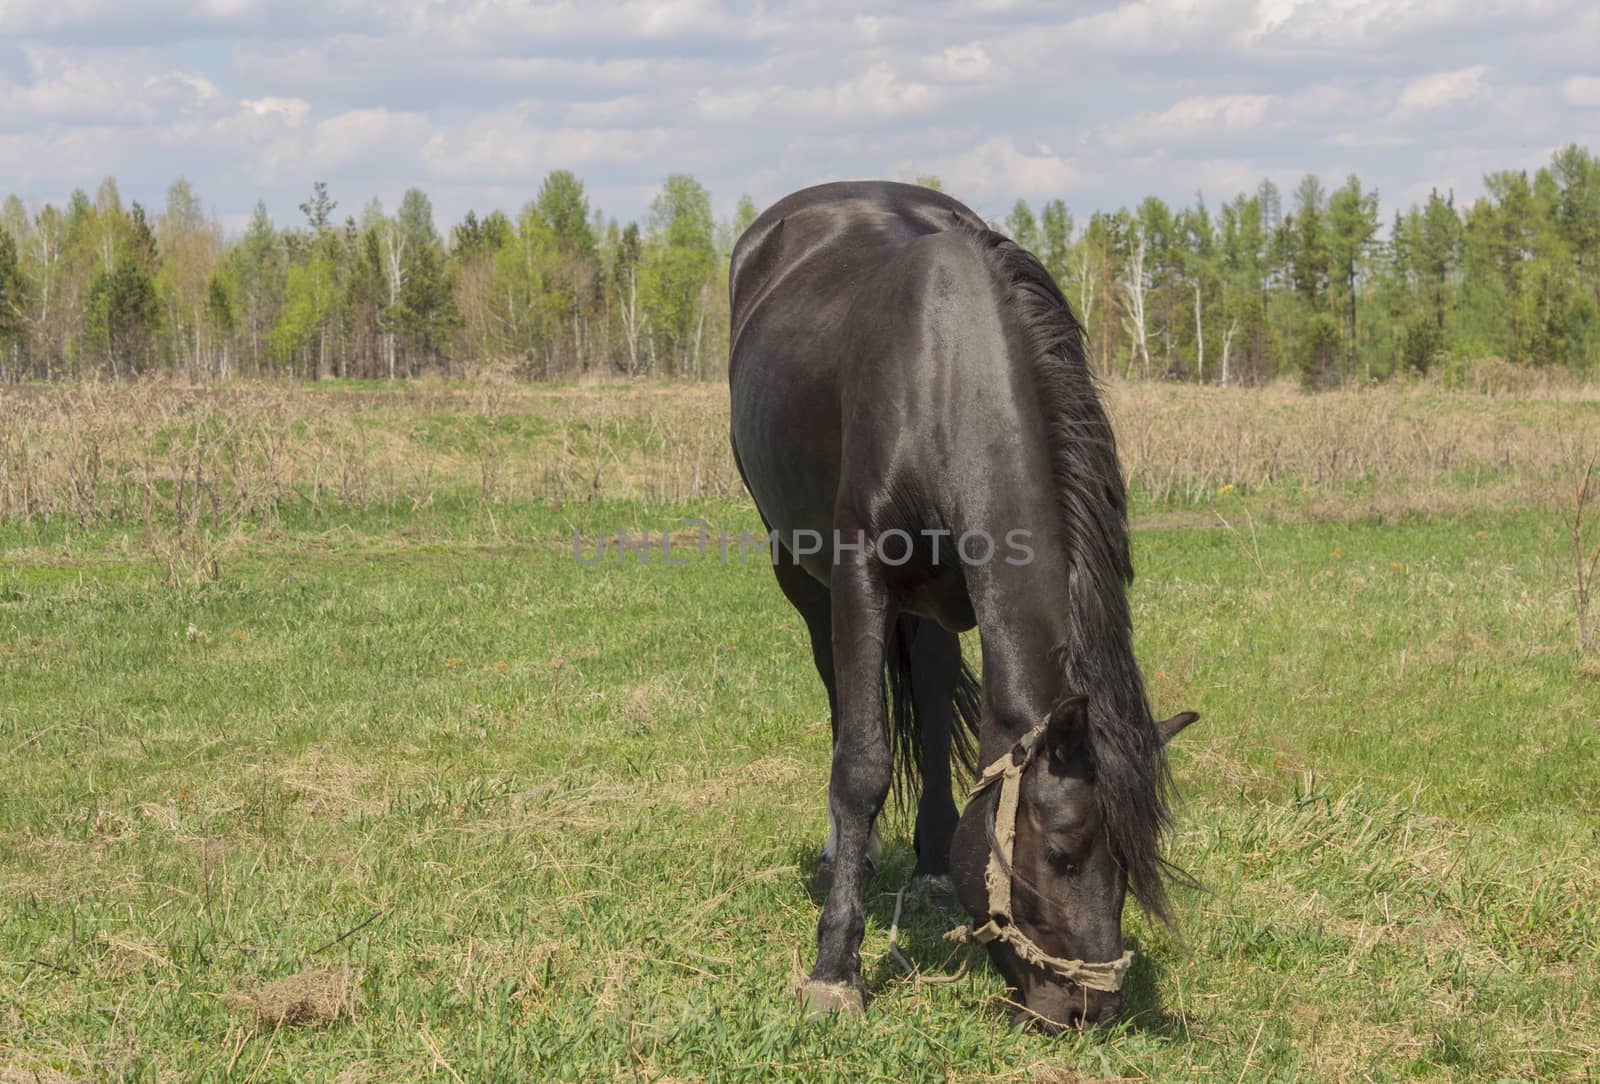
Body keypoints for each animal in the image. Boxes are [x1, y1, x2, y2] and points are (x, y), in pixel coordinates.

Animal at [726, 182, 1203, 1029]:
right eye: (1063, 851)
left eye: (1130, 863)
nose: (1090, 1010)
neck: (941, 377)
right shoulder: (859, 577)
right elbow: (862, 760)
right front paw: (834, 969)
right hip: (802, 572)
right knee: (840, 696)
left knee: (932, 679)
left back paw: (928, 853)